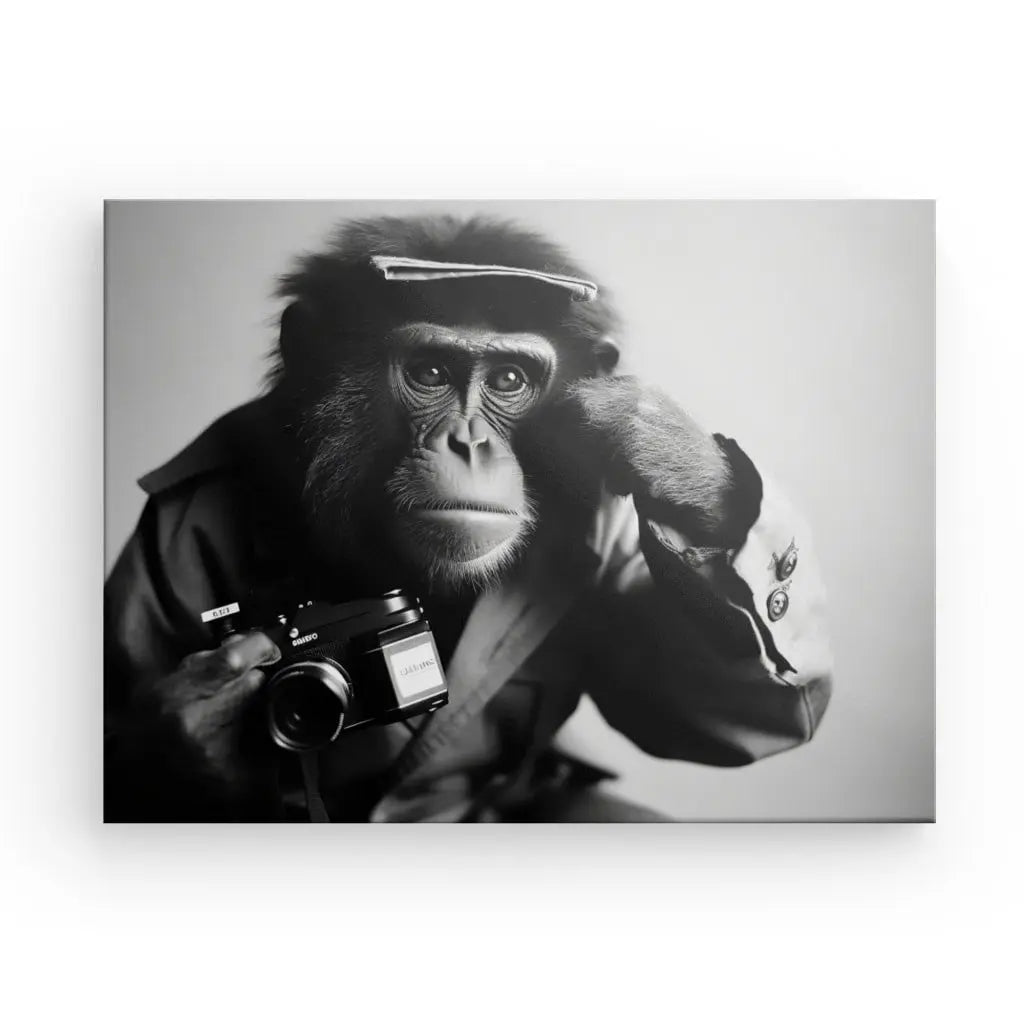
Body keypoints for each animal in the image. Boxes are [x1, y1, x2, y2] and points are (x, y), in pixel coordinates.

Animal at [104, 214, 833, 822]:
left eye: (509, 380)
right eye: (431, 372)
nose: (469, 442)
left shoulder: (610, 526)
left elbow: (695, 700)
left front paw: (665, 445)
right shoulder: (170, 529)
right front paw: (197, 726)